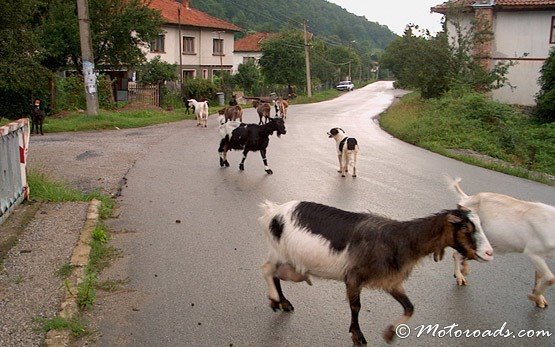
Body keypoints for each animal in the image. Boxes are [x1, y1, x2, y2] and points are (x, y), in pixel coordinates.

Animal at [258, 201, 494, 346]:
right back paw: (274, 299)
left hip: (289, 262)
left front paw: (389, 333)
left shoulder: (392, 282)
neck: (400, 239)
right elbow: (356, 306)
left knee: (278, 274)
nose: (489, 253)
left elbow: (410, 308)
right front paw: (358, 335)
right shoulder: (353, 278)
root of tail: (272, 211)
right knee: (267, 270)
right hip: (279, 253)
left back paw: (283, 302)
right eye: (465, 227)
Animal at [450, 178, 552, 308]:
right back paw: (460, 276)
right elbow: (550, 278)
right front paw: (533, 297)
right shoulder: (533, 252)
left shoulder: (542, 254)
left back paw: (464, 270)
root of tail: (467, 198)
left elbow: (540, 274)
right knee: (456, 253)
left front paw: (539, 300)